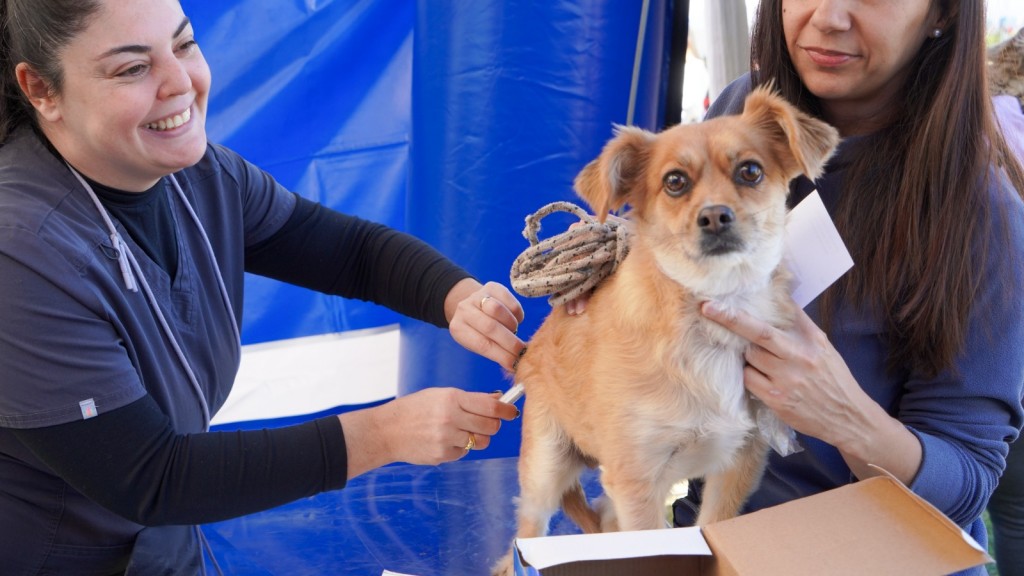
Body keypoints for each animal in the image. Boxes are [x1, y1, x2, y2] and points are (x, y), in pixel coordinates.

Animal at [495, 86, 839, 573]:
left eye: (750, 171)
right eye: (674, 181)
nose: (715, 216)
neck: (710, 311)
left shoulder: (737, 465)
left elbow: (711, 529)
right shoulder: (636, 479)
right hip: (546, 468)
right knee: (528, 528)